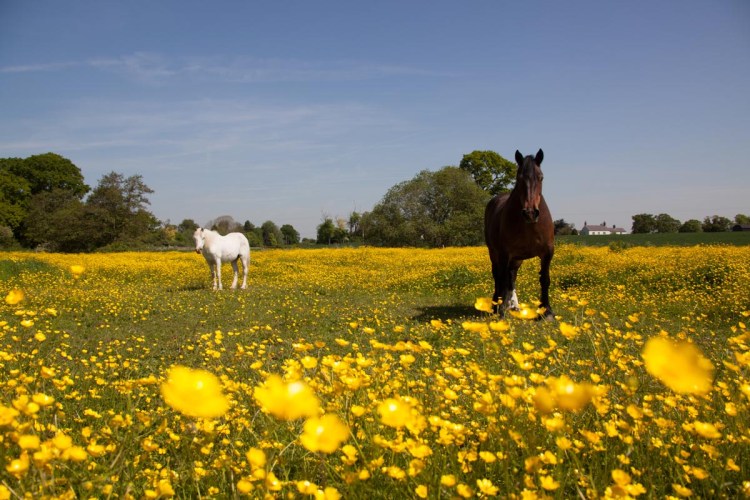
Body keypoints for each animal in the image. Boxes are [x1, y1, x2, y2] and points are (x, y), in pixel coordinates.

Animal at [484, 149, 555, 320]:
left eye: (541, 177)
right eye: (519, 178)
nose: (530, 213)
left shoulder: (547, 252)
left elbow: (545, 279)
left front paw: (547, 311)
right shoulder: (504, 253)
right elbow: (502, 279)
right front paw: (500, 309)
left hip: (517, 259)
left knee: (512, 276)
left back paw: (513, 305)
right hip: (495, 253)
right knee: (499, 276)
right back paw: (497, 304)